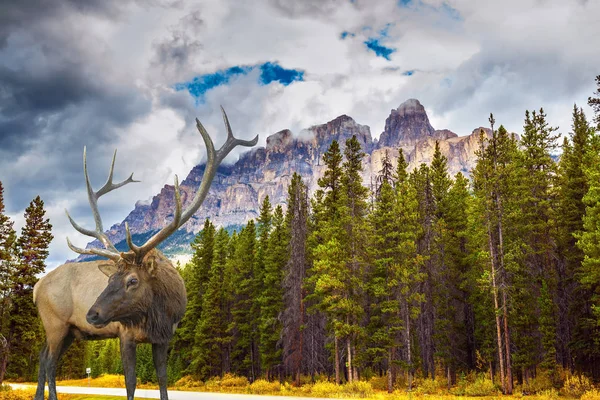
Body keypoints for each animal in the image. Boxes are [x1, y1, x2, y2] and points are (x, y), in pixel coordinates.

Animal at [32, 107, 258, 400]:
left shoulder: (164, 337)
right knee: (49, 362)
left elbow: (162, 378)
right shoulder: (125, 333)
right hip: (55, 323)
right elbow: (131, 382)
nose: (92, 315)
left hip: (69, 330)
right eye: (109, 280)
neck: (158, 312)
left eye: (132, 280)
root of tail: (36, 287)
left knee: (42, 358)